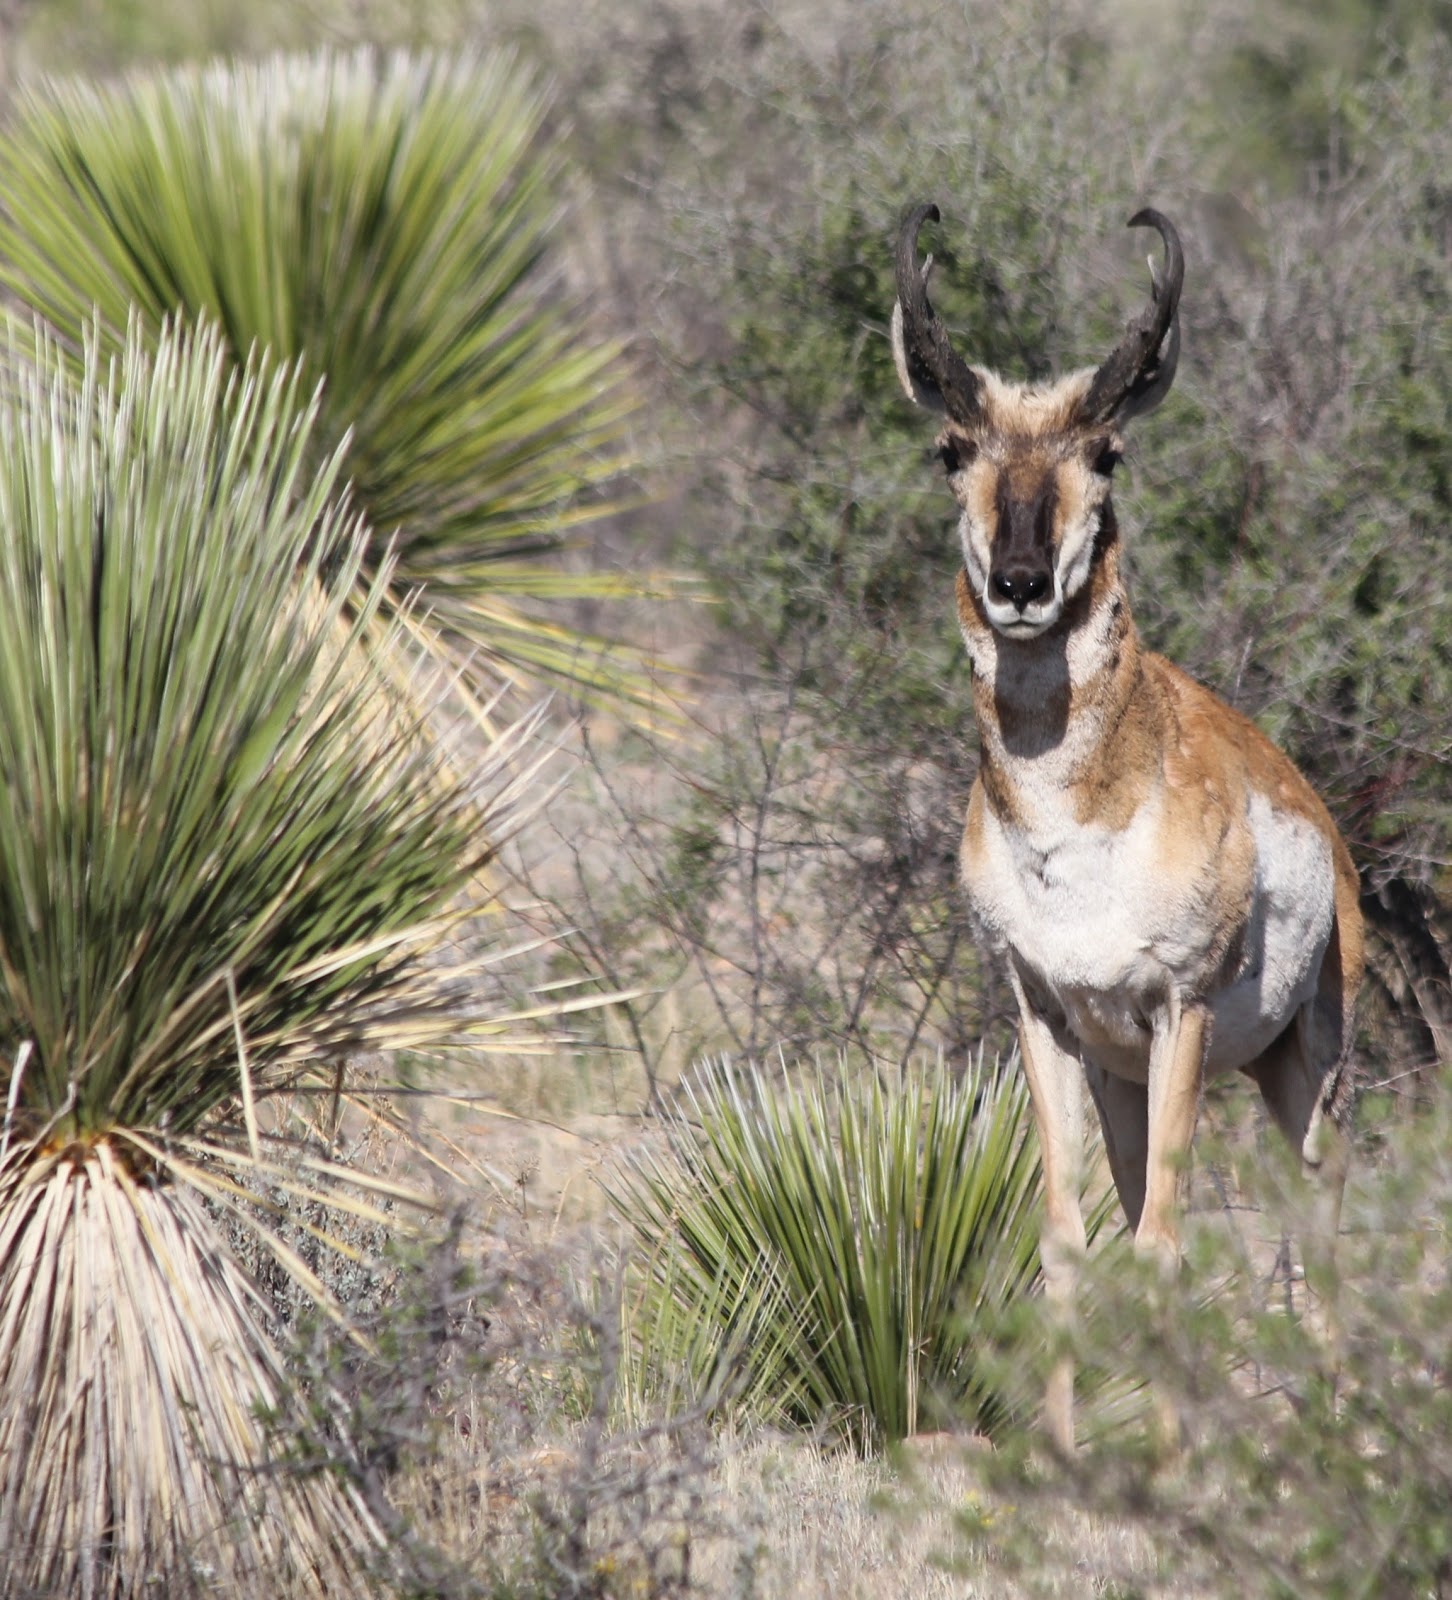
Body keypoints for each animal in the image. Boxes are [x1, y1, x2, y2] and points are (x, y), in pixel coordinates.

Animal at [891, 203, 1363, 1451]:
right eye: (951, 447)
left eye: (1105, 453)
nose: (1018, 583)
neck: (1079, 832)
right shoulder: (1047, 1016)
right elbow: (1066, 1239)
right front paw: (1065, 1453)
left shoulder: (1178, 1009)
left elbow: (1160, 1245)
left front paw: (1164, 1461)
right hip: (1126, 1083)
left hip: (1305, 1070)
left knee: (1327, 1227)